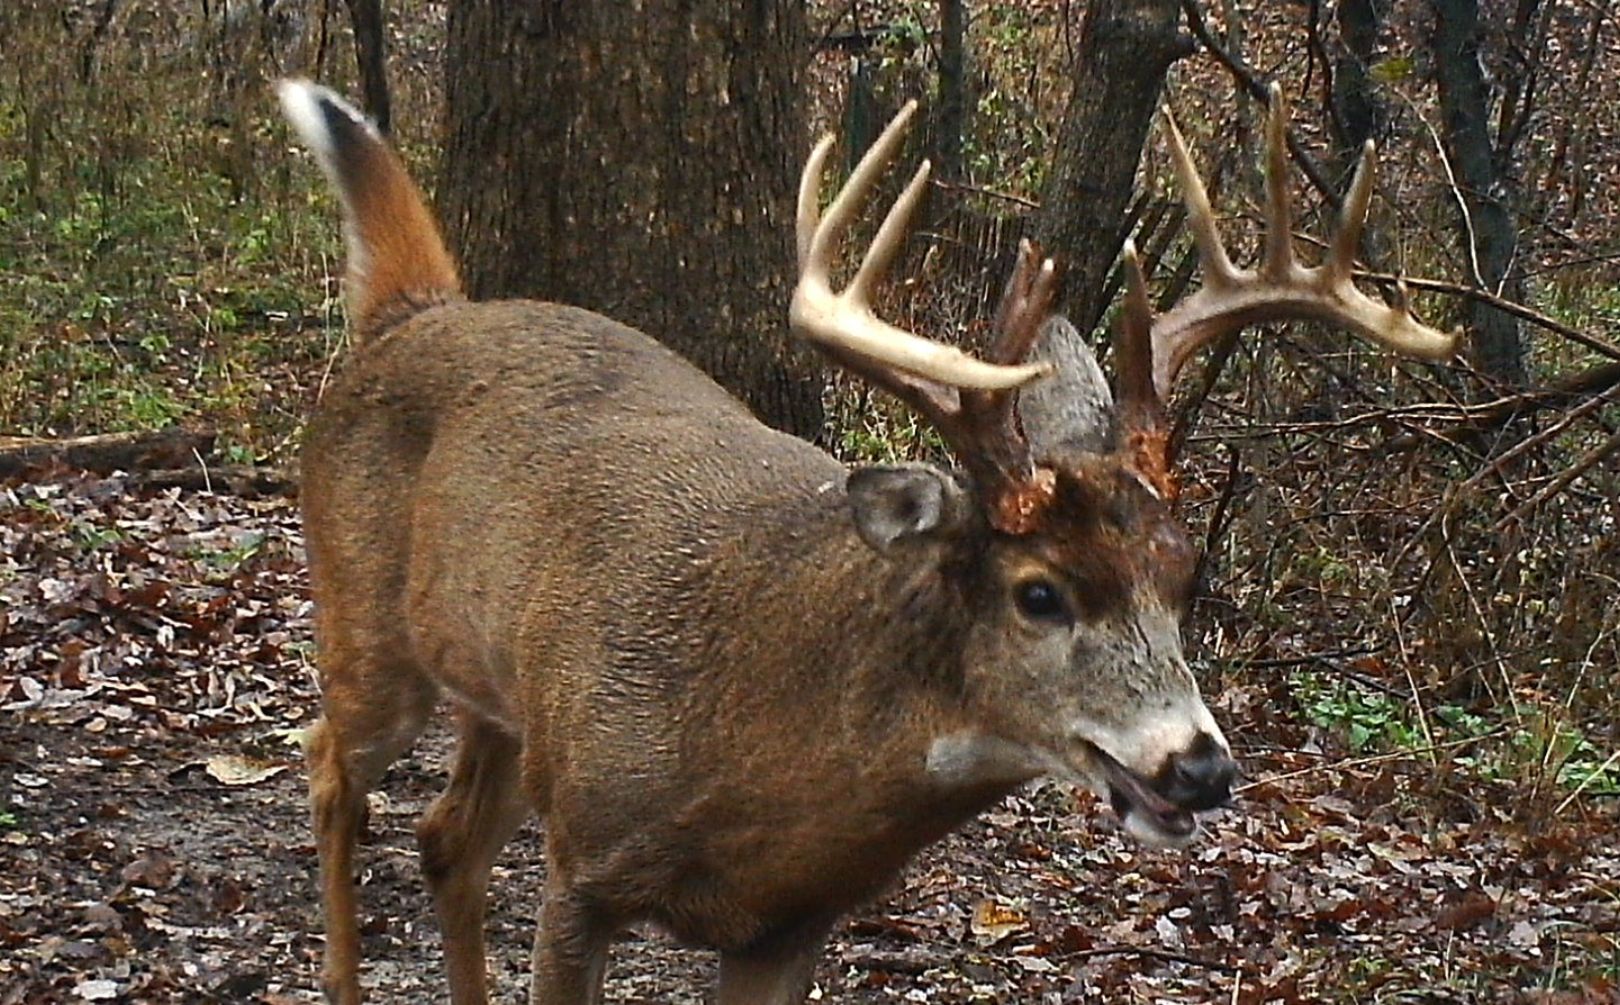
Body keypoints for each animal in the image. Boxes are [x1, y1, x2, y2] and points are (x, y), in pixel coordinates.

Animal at [278, 78, 1458, 1005]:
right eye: (1040, 592)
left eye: (1188, 576)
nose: (1200, 766)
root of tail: (415, 312)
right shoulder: (583, 869)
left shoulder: (791, 923)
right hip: (368, 621)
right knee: (330, 759)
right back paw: (338, 974)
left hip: (504, 698)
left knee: (445, 838)